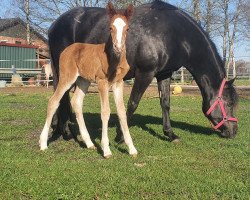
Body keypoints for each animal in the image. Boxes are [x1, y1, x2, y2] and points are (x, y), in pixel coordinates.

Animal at [39, 2, 137, 158]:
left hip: (83, 80)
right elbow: (105, 111)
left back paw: (89, 143)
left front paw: (132, 148)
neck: (113, 58)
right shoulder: (102, 81)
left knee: (76, 102)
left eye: (127, 28)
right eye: (110, 28)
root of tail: (67, 50)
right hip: (67, 77)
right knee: (53, 101)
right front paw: (106, 149)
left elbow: (122, 112)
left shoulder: (118, 83)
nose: (118, 47)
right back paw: (43, 143)